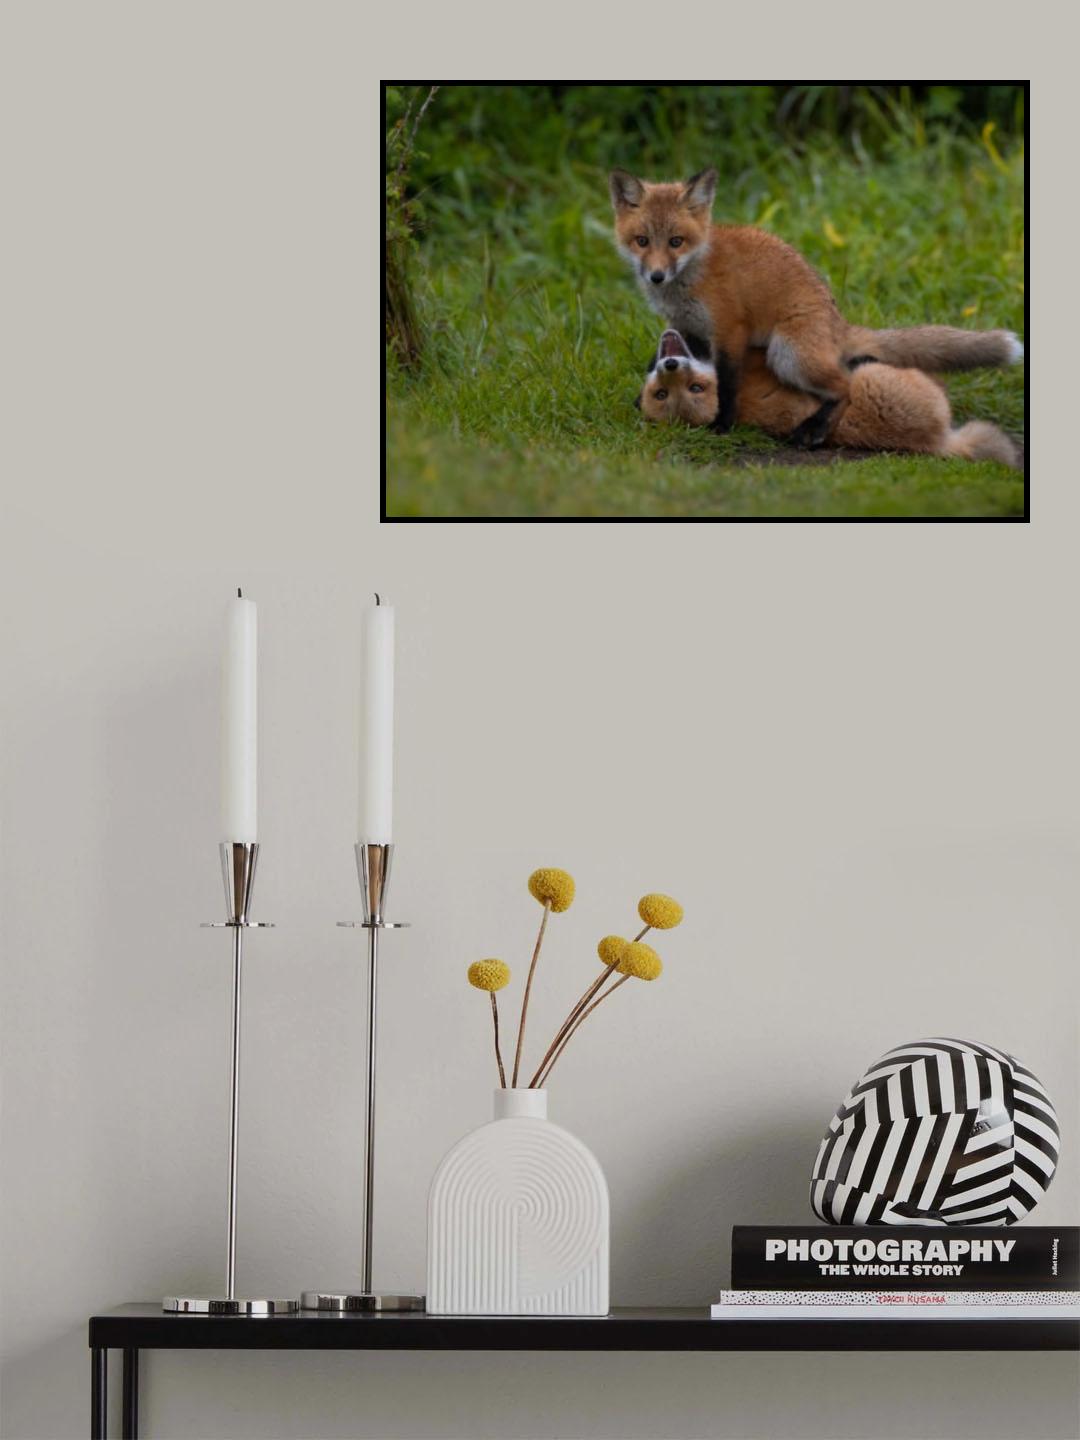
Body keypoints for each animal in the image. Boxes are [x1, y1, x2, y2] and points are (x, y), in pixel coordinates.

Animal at [610, 167, 1024, 446]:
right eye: (642, 241)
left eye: (676, 241)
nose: (656, 276)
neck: (690, 279)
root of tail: (837, 325)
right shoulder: (687, 327)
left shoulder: (730, 331)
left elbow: (727, 385)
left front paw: (722, 424)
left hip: (787, 354)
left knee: (845, 384)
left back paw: (816, 429)